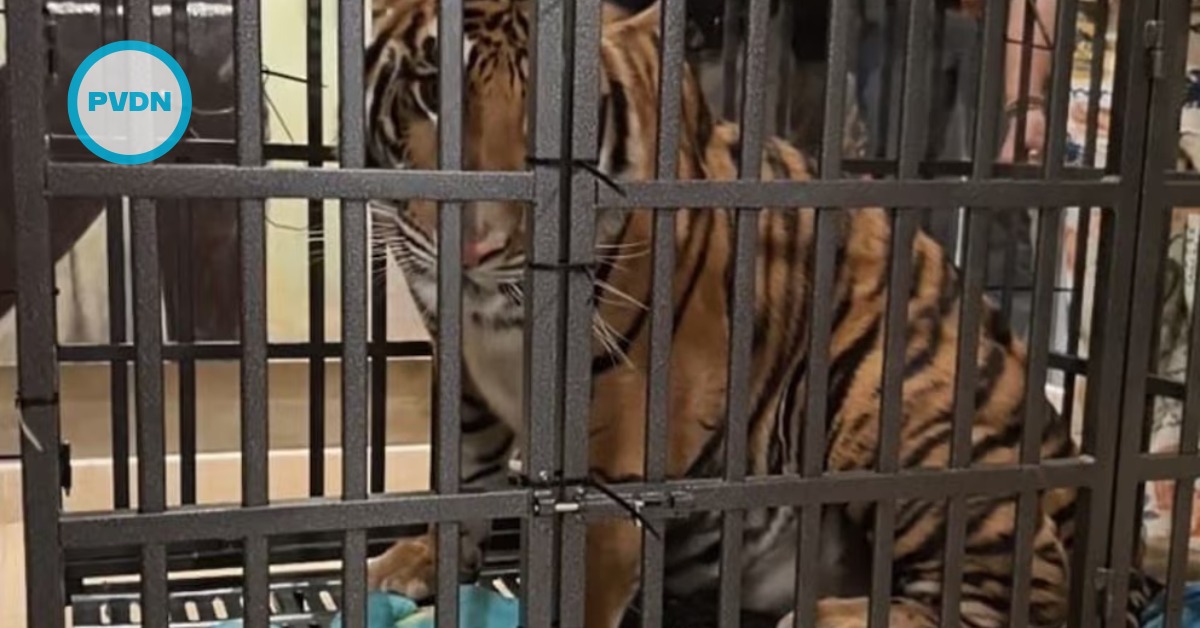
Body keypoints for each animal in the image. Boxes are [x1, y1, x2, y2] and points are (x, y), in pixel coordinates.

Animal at [361, 0, 1160, 626]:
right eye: (431, 90)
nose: (476, 244)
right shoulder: (463, 375)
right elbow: (462, 474)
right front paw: (413, 562)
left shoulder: (624, 424)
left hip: (883, 398)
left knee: (1026, 593)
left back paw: (832, 617)